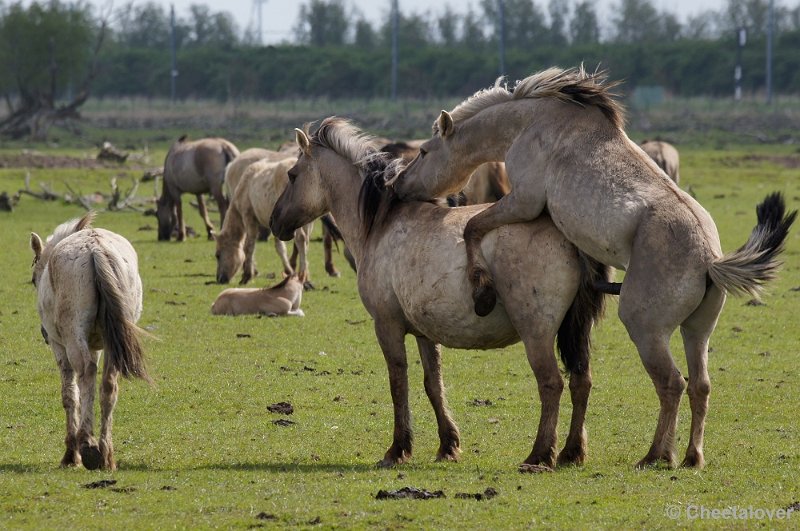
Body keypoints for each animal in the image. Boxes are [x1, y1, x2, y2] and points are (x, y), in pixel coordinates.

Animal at [29, 212, 152, 470]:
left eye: (34, 280)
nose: (43, 333)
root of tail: (96, 249)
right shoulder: (97, 346)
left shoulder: (60, 347)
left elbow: (70, 395)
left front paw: (70, 454)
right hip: (112, 346)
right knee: (108, 384)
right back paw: (106, 454)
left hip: (72, 341)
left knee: (85, 373)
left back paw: (86, 444)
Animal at [212, 156, 312, 284]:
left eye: (218, 255)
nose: (220, 279)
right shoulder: (276, 224)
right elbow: (280, 248)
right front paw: (289, 271)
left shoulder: (248, 217)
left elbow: (248, 246)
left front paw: (247, 275)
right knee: (306, 241)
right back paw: (305, 274)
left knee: (300, 238)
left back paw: (302, 275)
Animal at [268, 118, 608, 472]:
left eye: (292, 174)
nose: (274, 221)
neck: (382, 224)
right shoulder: (424, 332)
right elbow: (434, 385)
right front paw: (448, 445)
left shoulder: (387, 326)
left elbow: (398, 383)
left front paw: (397, 449)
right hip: (577, 331)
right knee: (581, 381)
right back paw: (571, 452)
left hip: (537, 333)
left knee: (552, 383)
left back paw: (539, 455)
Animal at [390, 65, 796, 470]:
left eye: (424, 151)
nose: (396, 185)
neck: (531, 122)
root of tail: (709, 260)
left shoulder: (523, 202)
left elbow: (472, 227)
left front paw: (481, 289)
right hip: (697, 331)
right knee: (699, 386)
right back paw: (691, 458)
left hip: (646, 329)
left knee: (671, 384)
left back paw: (655, 455)